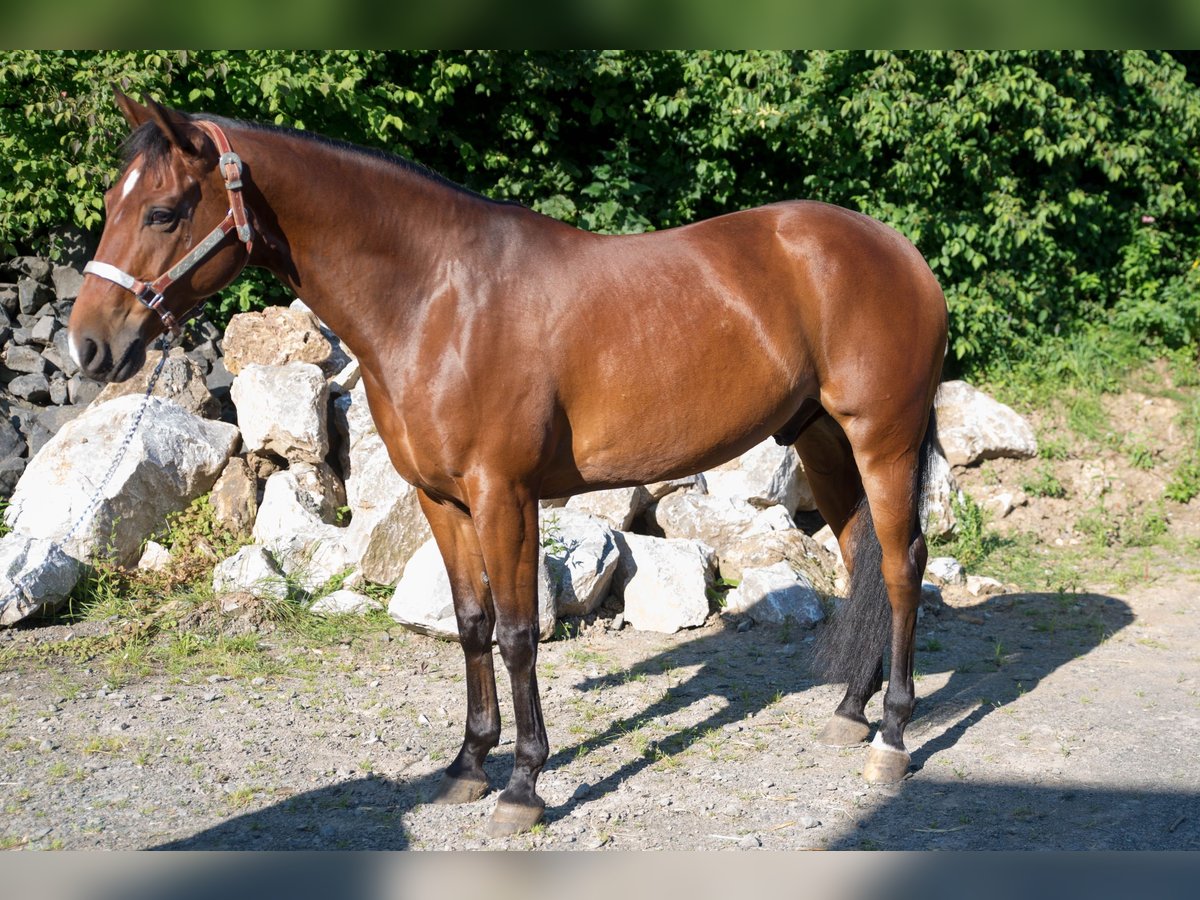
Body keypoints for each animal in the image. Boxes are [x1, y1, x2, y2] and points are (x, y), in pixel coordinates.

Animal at [68, 91, 945, 840]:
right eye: (111, 205)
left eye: (163, 211)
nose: (89, 347)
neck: (438, 299)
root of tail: (897, 251)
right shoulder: (442, 501)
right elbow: (471, 625)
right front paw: (467, 764)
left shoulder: (504, 496)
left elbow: (521, 634)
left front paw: (523, 785)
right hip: (822, 440)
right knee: (863, 552)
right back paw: (850, 711)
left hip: (884, 439)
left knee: (901, 565)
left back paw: (892, 736)